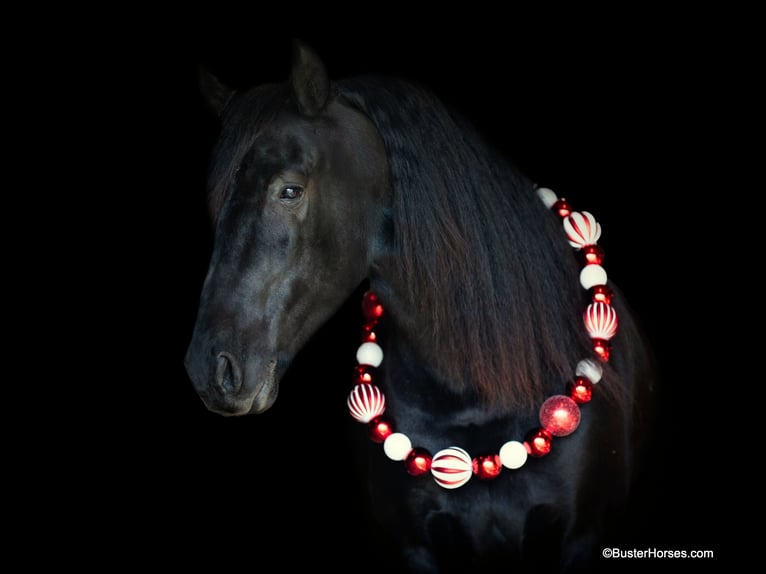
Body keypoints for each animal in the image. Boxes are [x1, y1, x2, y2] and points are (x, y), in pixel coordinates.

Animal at [184, 44, 656, 574]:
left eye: (290, 190)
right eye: (216, 203)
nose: (210, 369)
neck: (474, 395)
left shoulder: (582, 536)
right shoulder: (416, 547)